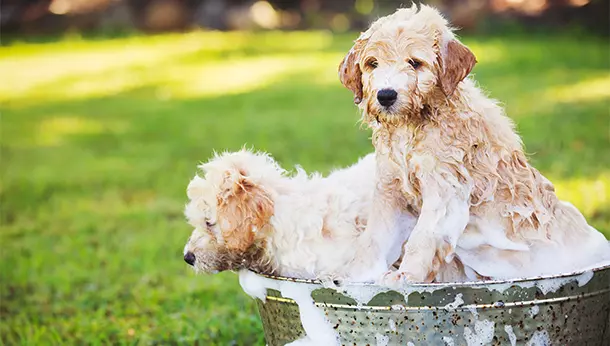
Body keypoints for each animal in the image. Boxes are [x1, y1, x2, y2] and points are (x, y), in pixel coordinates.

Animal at [338, 4, 608, 284]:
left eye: (415, 63)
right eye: (372, 64)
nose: (386, 95)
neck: (413, 127)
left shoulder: (444, 190)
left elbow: (422, 238)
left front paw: (407, 275)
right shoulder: (389, 188)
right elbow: (373, 239)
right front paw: (352, 276)